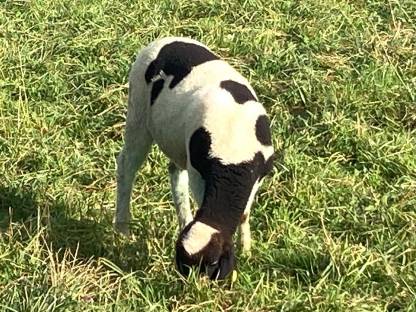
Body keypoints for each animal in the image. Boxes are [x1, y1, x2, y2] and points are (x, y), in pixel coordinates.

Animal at [115, 37, 274, 280]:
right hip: (138, 114)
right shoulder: (199, 171)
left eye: (213, 263)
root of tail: (162, 41)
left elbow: (244, 214)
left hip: (179, 145)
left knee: (174, 173)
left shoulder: (257, 175)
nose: (193, 286)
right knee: (127, 167)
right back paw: (123, 229)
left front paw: (246, 249)